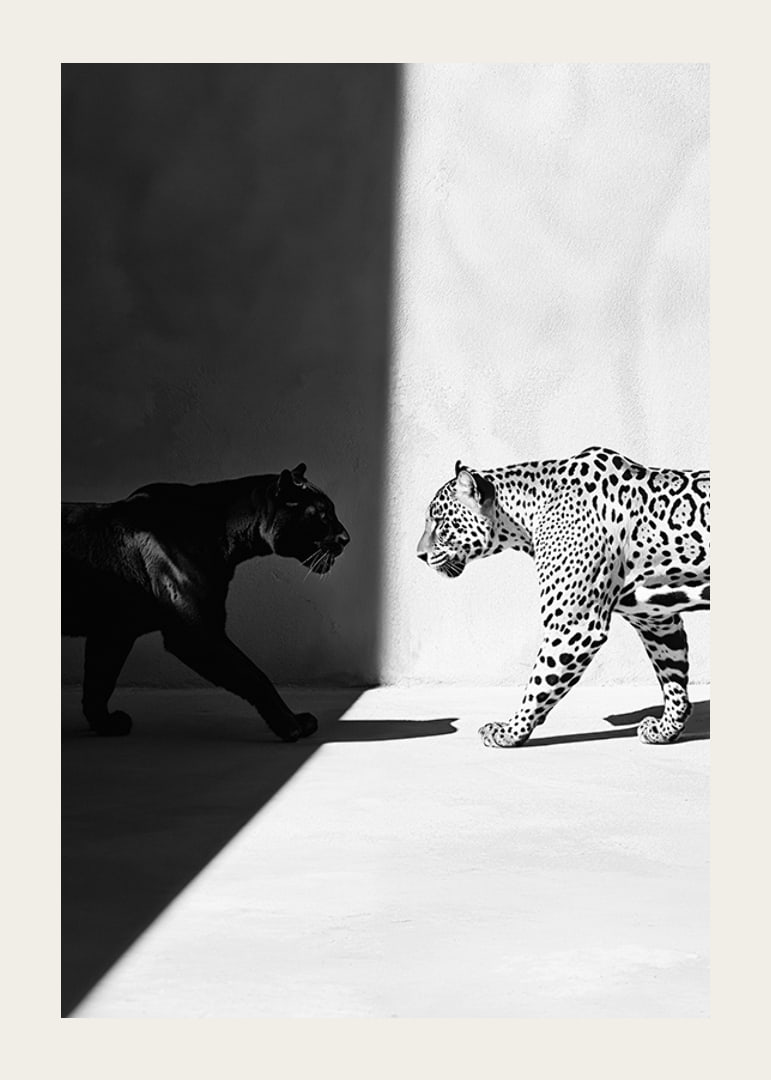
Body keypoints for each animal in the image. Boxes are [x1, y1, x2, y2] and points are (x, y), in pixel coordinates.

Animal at [62, 463, 349, 742]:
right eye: (323, 514)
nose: (346, 538)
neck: (224, 530)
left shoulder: (113, 631)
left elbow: (99, 682)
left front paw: (106, 724)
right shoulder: (194, 631)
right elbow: (253, 674)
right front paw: (290, 725)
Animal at [417, 447, 709, 748]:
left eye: (439, 521)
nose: (420, 555)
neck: (526, 514)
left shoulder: (574, 625)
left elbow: (539, 682)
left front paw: (511, 731)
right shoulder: (655, 619)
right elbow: (672, 677)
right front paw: (665, 729)